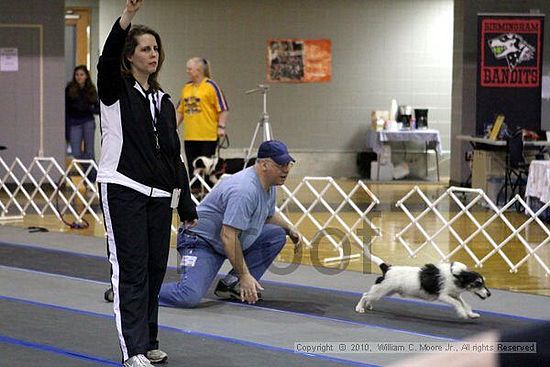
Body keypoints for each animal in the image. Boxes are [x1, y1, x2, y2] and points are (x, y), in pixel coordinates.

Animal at [356, 262, 494, 320]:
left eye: (483, 282)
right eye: (478, 283)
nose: (489, 294)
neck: (456, 276)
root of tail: (387, 268)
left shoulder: (455, 294)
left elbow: (465, 303)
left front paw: (471, 314)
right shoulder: (443, 296)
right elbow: (457, 304)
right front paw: (462, 314)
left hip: (386, 291)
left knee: (369, 296)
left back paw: (369, 305)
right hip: (383, 289)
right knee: (365, 295)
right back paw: (360, 308)